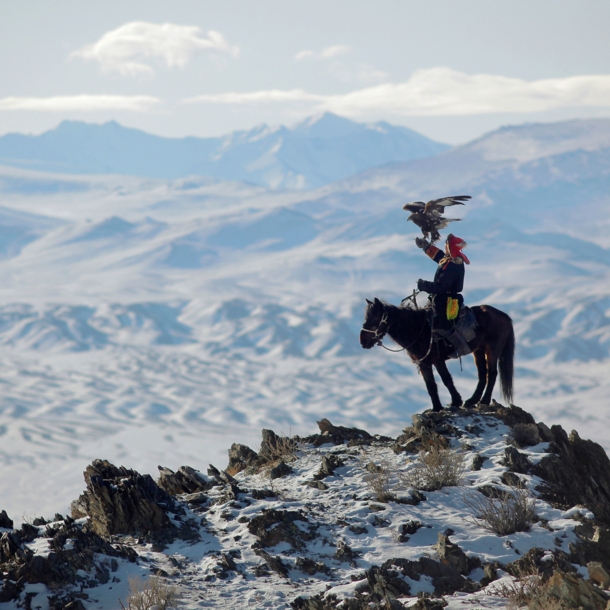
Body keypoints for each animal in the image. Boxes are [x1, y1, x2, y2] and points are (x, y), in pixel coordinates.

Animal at [360, 296, 512, 410]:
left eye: (374, 319)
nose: (362, 341)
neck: (417, 329)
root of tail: (503, 315)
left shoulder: (436, 360)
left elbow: (444, 380)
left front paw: (452, 403)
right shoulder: (424, 362)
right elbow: (432, 385)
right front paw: (441, 406)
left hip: (492, 349)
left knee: (492, 374)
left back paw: (484, 401)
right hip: (479, 350)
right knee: (482, 374)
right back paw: (471, 401)